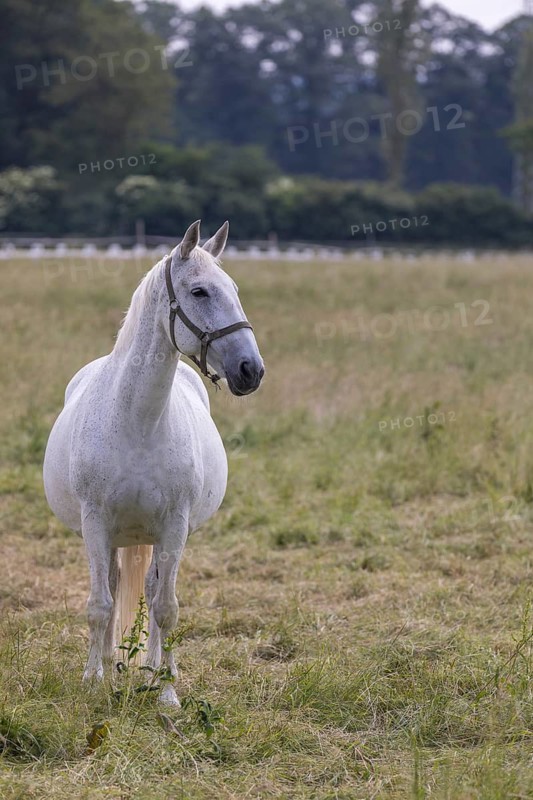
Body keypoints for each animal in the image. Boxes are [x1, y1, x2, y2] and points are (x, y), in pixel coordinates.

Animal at [43, 220, 264, 705]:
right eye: (199, 291)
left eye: (234, 289)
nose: (251, 370)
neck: (138, 421)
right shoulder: (96, 523)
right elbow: (100, 604)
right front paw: (93, 680)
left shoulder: (173, 525)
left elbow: (166, 608)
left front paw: (166, 690)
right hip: (113, 536)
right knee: (112, 585)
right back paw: (110, 664)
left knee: (153, 588)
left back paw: (152, 668)